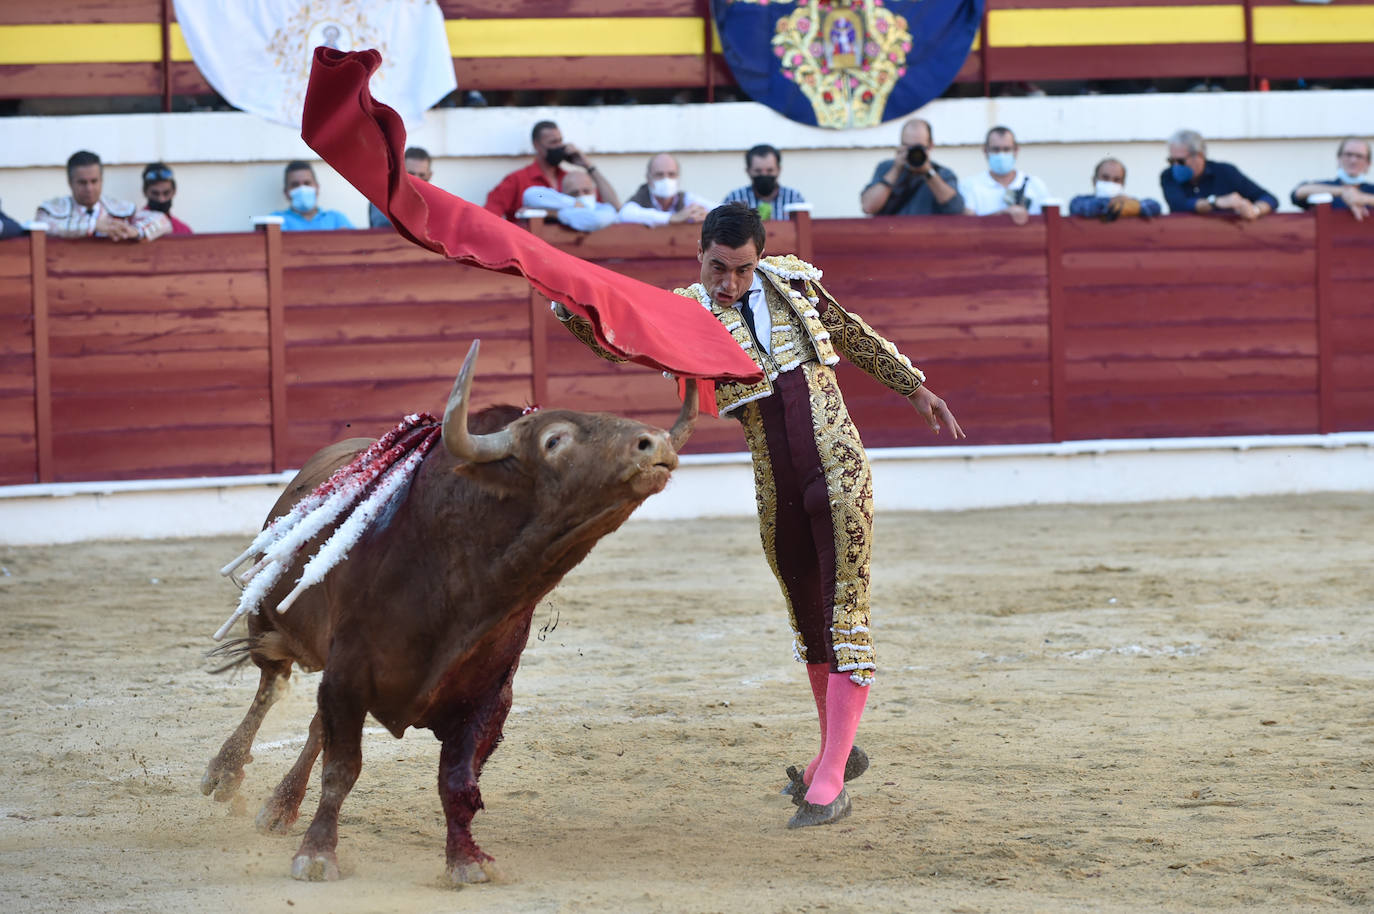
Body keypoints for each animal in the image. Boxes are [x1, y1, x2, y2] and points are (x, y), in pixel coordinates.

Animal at [200, 340, 697, 885]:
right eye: (554, 440)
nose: (653, 443)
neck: (456, 575)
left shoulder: (488, 696)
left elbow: (457, 780)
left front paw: (466, 860)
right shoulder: (348, 672)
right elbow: (342, 769)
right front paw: (316, 855)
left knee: (312, 724)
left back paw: (280, 805)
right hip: (270, 620)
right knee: (271, 684)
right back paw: (225, 774)